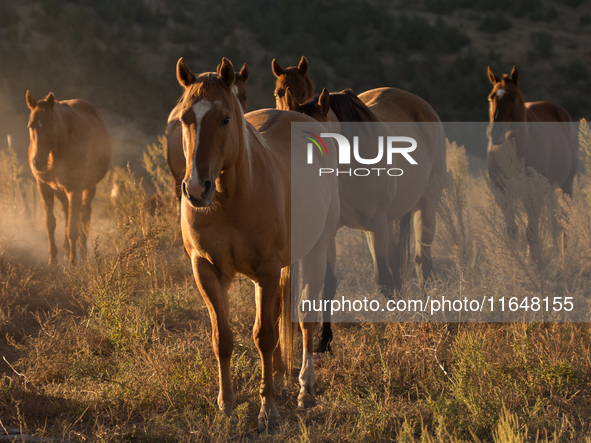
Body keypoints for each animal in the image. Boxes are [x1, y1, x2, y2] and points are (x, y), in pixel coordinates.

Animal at [24, 90, 112, 264]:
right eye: (31, 125)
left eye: (51, 125)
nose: (38, 163)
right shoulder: (44, 187)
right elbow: (50, 224)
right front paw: (53, 260)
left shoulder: (75, 189)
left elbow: (73, 228)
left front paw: (73, 263)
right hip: (60, 191)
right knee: (66, 213)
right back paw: (66, 251)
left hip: (88, 188)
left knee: (84, 216)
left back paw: (83, 254)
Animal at [176, 57, 340, 432]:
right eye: (184, 118)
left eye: (225, 118)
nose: (196, 189)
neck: (229, 198)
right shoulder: (206, 271)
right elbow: (223, 338)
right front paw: (227, 405)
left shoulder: (266, 270)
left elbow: (264, 335)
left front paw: (268, 410)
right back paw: (279, 379)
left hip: (315, 251)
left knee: (305, 317)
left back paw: (305, 388)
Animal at [284, 86, 446, 354]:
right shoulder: (331, 233)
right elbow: (329, 284)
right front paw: (324, 341)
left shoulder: (375, 225)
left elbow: (383, 281)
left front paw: (399, 327)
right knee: (398, 264)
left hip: (426, 205)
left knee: (423, 263)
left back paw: (426, 315)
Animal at [488, 65, 580, 253]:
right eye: (491, 98)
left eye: (513, 98)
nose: (496, 133)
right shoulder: (502, 193)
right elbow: (512, 232)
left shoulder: (532, 193)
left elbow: (531, 232)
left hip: (566, 186)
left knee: (563, 225)